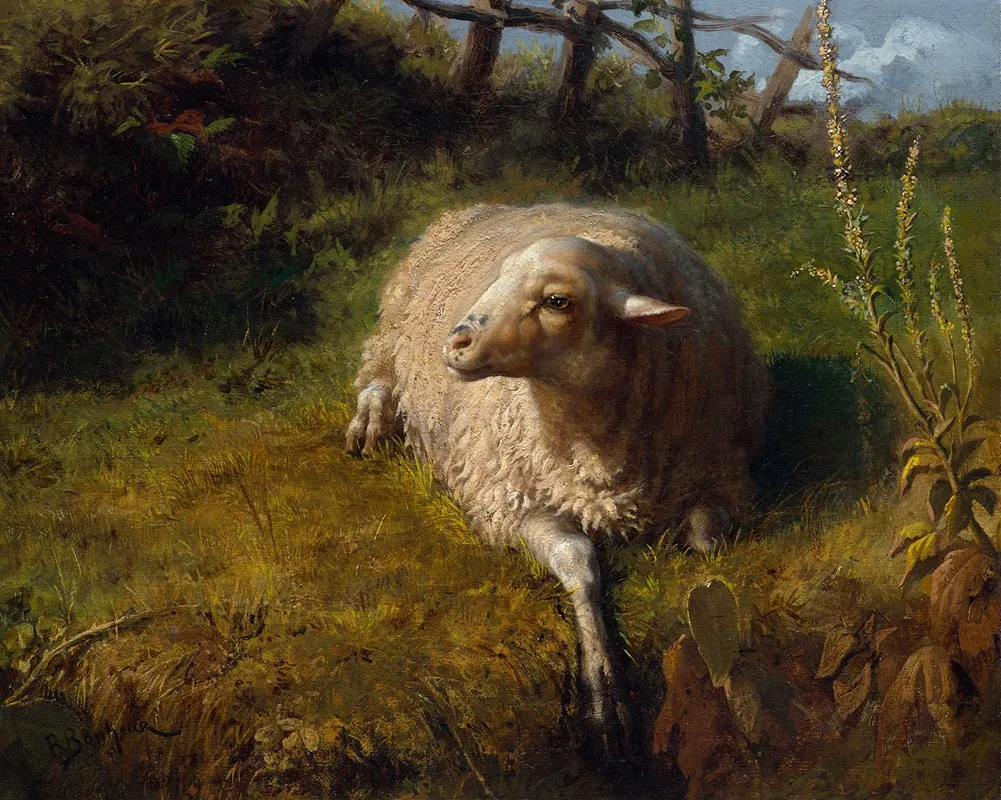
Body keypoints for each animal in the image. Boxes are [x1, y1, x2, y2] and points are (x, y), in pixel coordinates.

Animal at [346, 202, 767, 754]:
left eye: (557, 301)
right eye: (500, 278)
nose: (455, 342)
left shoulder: (720, 478)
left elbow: (705, 542)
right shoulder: (512, 504)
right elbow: (578, 560)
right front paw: (603, 691)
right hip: (392, 331)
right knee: (376, 376)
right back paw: (369, 425)